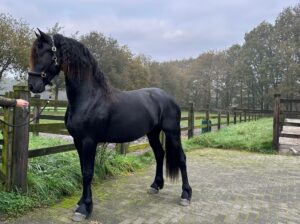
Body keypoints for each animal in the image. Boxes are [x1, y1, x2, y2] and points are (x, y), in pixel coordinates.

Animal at [28, 28, 192, 221]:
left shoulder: (89, 141)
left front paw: (84, 209)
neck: (90, 98)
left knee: (181, 158)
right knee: (159, 154)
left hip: (172, 132)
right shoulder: (78, 141)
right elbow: (83, 170)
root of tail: (169, 97)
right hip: (152, 132)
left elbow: (88, 173)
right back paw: (155, 186)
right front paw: (82, 203)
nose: (32, 85)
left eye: (45, 52)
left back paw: (186, 195)